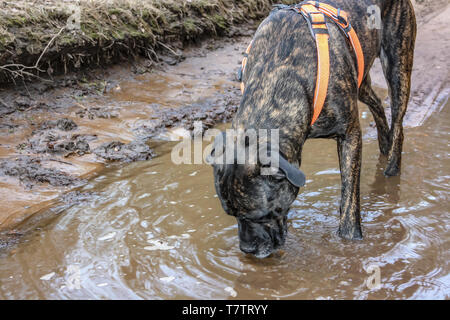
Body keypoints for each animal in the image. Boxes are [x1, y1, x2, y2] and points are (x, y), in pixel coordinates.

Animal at [209, 0, 416, 258]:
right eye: (232, 214)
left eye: (264, 215)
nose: (246, 249)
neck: (276, 73)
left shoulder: (350, 135)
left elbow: (350, 196)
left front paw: (350, 240)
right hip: (360, 80)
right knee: (376, 101)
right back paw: (384, 142)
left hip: (398, 64)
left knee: (398, 121)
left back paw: (392, 167)